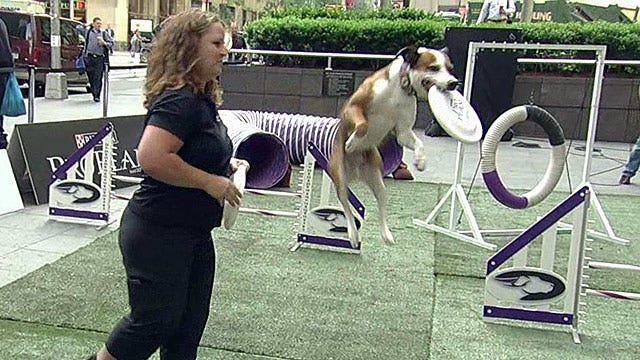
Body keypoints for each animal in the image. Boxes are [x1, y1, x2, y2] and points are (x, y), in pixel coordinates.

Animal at [328, 44, 458, 248]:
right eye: (434, 68)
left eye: (450, 68)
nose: (454, 83)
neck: (400, 88)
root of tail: (355, 172)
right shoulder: (353, 108)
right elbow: (363, 125)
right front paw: (352, 142)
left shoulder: (403, 131)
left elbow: (419, 142)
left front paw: (420, 161)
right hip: (339, 177)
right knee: (346, 206)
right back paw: (353, 234)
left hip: (378, 181)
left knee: (380, 206)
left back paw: (386, 235)